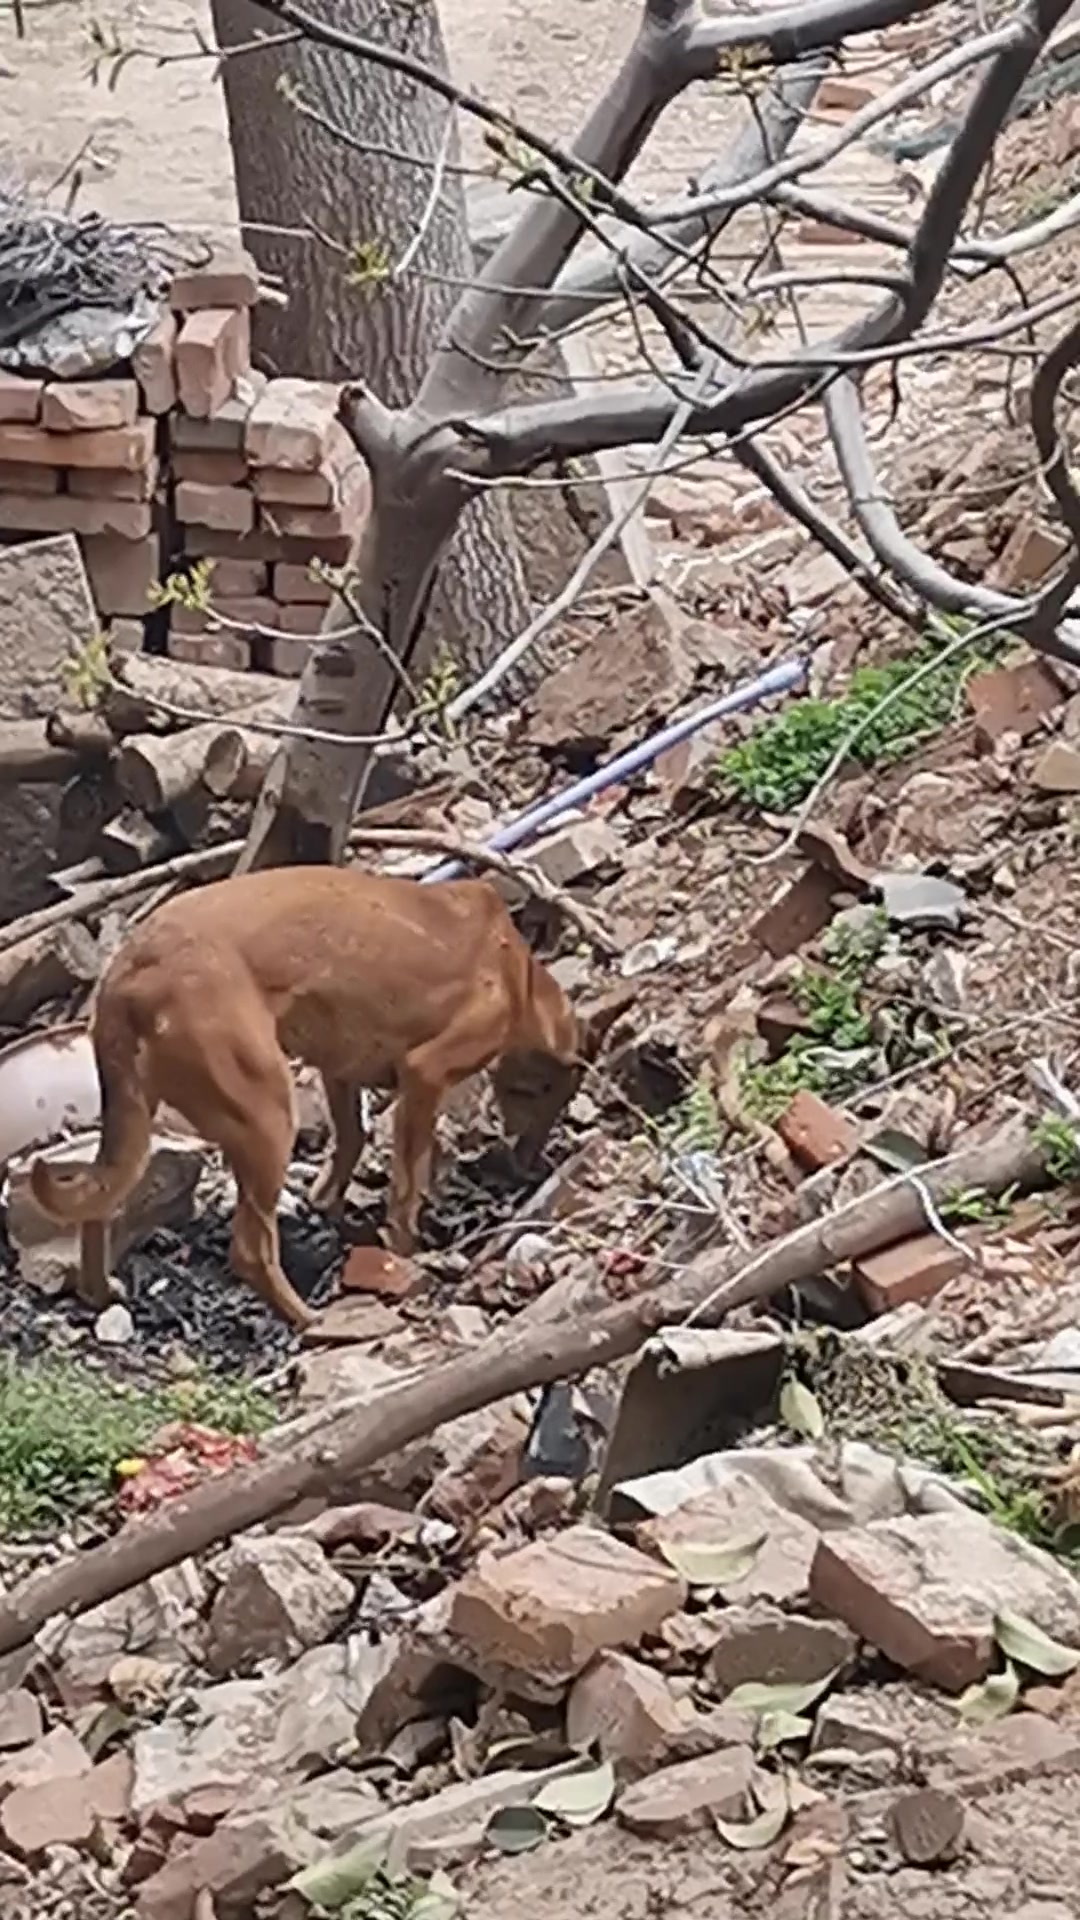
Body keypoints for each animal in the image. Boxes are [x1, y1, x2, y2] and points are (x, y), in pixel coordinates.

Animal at [29, 875, 591, 1336]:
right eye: (545, 1100)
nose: (527, 1167)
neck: (520, 974)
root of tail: (127, 974)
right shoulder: (424, 1073)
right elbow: (406, 1184)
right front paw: (404, 1249)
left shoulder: (341, 1070)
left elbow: (351, 1139)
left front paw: (329, 1204)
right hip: (267, 1115)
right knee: (249, 1250)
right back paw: (305, 1318)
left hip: (139, 1118)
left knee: (99, 1202)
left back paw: (100, 1291)